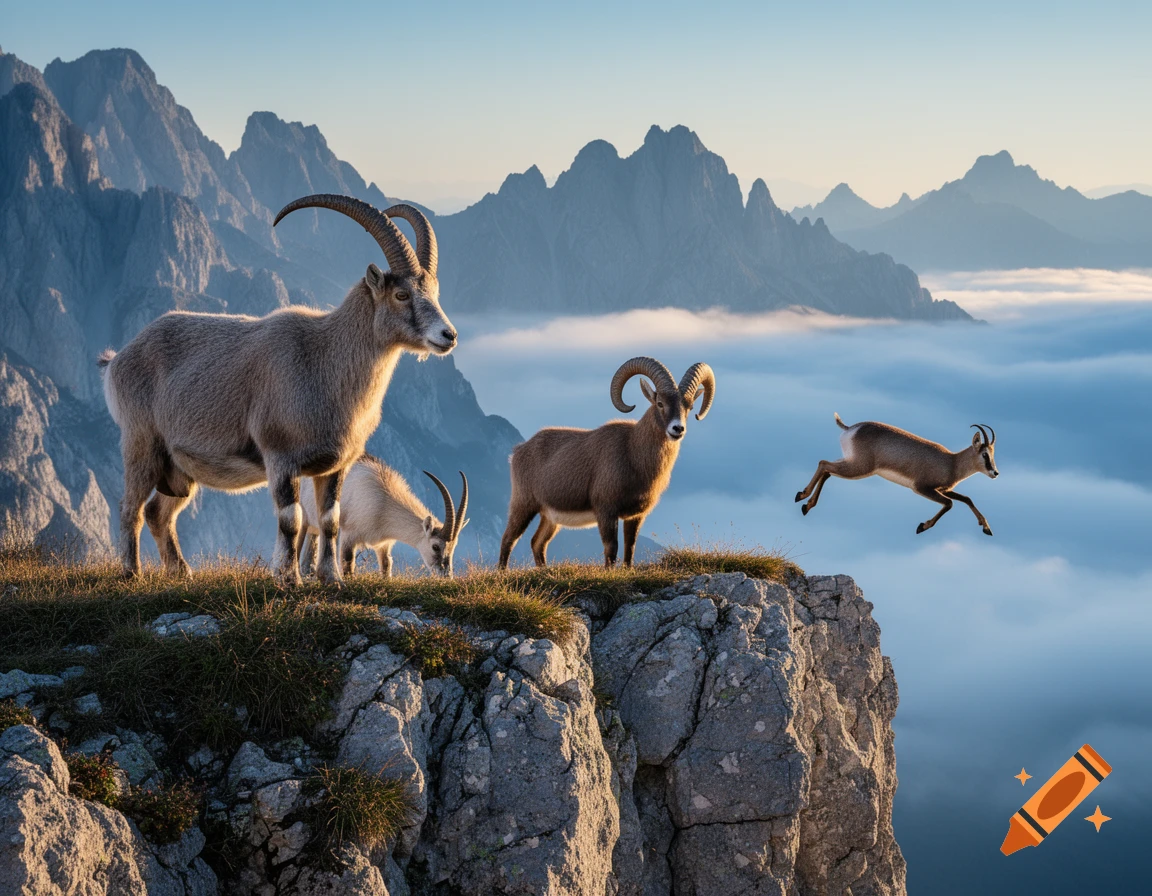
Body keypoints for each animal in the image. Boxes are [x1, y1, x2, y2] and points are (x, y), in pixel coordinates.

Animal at [298, 457, 468, 577]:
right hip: (302, 518)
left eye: (453, 547)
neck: (383, 501)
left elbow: (386, 566)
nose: (446, 575)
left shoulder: (384, 545)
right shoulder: (349, 535)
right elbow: (348, 564)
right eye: (435, 546)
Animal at [498, 357, 715, 569]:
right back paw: (503, 571)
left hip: (550, 517)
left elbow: (630, 547)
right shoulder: (606, 510)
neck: (633, 453)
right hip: (523, 504)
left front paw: (627, 570)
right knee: (509, 538)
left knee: (537, 542)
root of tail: (518, 452)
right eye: (660, 403)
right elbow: (612, 547)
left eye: (690, 407)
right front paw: (609, 572)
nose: (677, 429)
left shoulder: (635, 516)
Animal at [795, 415, 999, 535]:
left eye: (993, 453)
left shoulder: (943, 489)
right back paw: (802, 496)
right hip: (859, 469)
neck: (951, 462)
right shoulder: (922, 488)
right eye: (984, 454)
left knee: (827, 470)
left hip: (851, 463)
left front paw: (986, 527)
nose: (995, 472)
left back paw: (806, 504)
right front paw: (922, 526)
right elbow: (949, 504)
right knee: (824, 464)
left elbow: (967, 499)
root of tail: (851, 428)